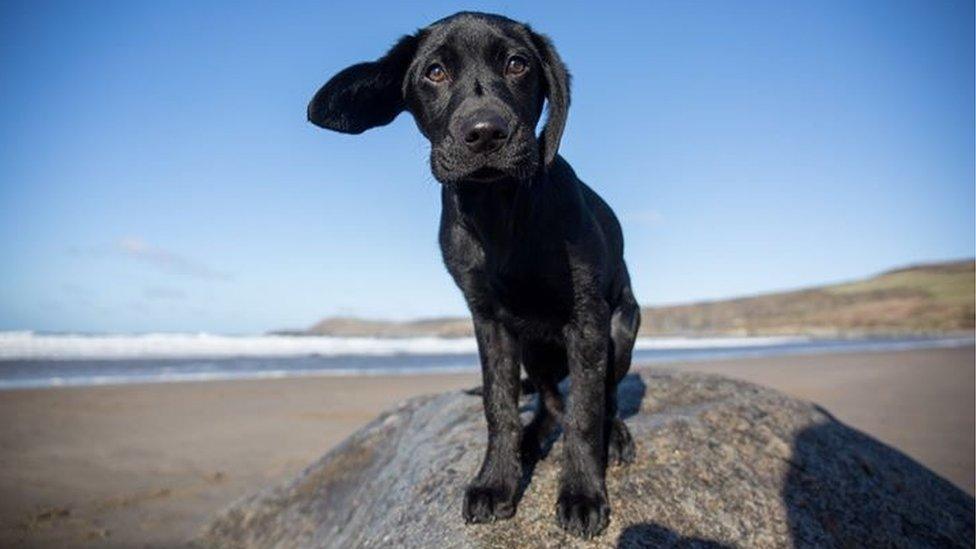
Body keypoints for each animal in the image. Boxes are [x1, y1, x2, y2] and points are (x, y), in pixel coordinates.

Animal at [306, 12, 640, 540]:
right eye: (435, 72)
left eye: (518, 64)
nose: (486, 132)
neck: (498, 210)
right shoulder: (488, 320)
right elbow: (499, 406)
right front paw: (496, 480)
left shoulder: (587, 319)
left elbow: (586, 414)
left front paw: (583, 492)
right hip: (534, 349)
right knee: (547, 401)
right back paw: (532, 439)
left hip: (622, 326)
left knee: (600, 394)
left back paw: (616, 435)